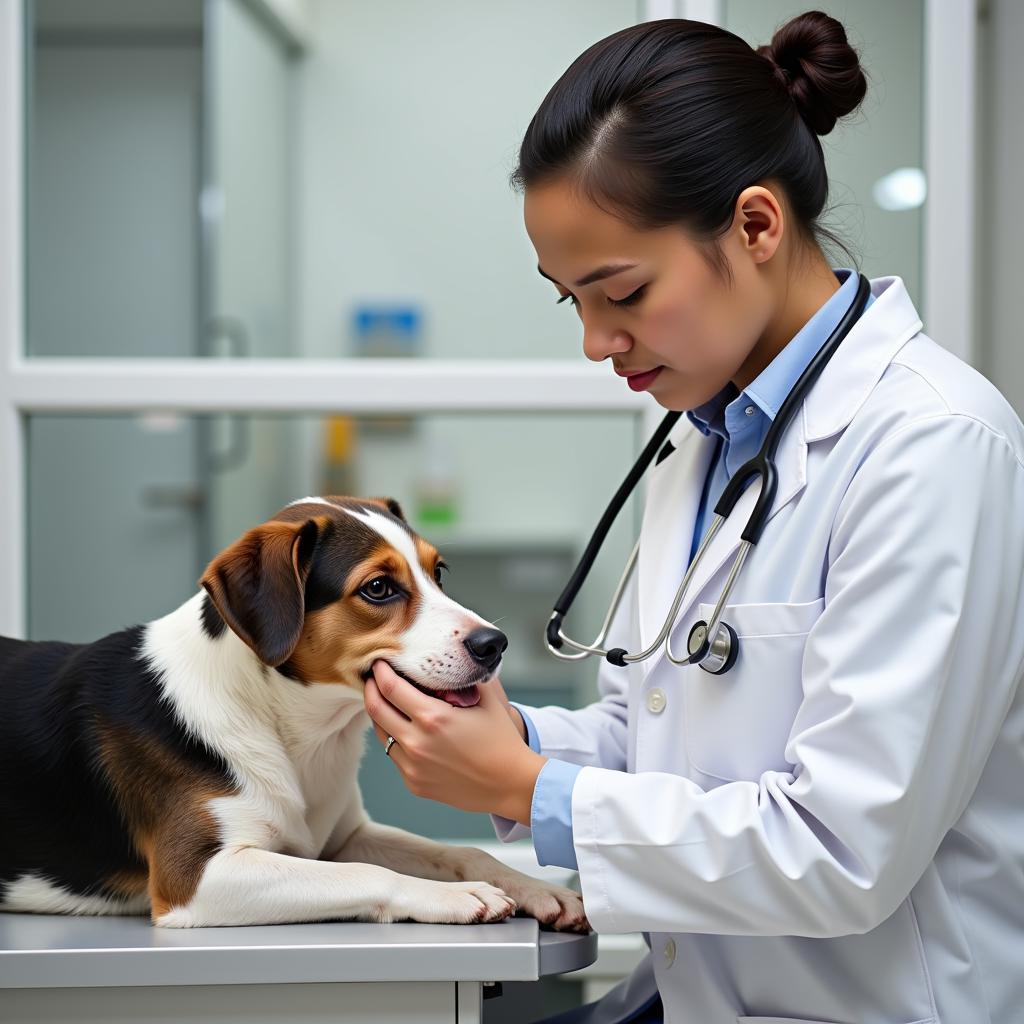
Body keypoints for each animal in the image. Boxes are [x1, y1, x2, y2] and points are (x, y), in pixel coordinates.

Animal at [0, 491, 589, 933]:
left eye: (438, 572)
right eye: (379, 588)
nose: (495, 644)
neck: (288, 727)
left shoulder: (345, 836)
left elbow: (463, 852)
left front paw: (536, 888)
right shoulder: (195, 878)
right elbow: (366, 875)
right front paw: (455, 895)